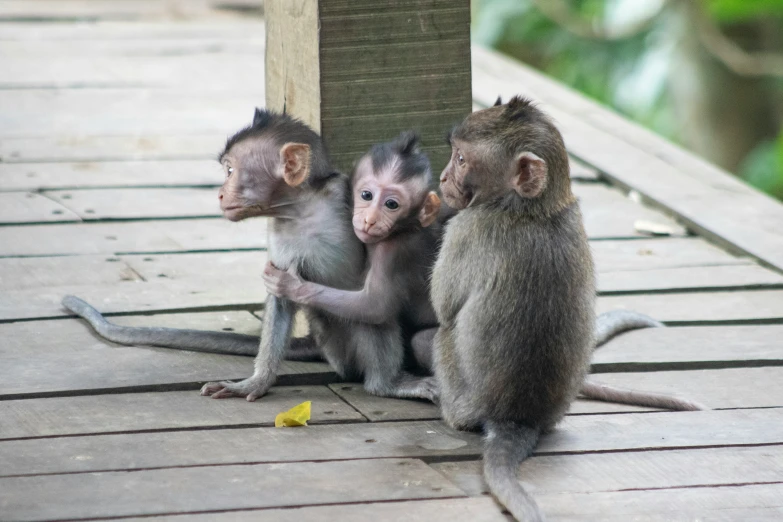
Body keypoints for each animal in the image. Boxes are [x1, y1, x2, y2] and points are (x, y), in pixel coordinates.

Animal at [63, 107, 434, 402]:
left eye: (231, 171)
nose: (219, 193)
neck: (302, 211)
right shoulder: (281, 237)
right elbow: (280, 302)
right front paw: (255, 383)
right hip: (337, 344)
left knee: (371, 314)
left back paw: (387, 384)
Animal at [428, 96, 700, 516]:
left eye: (460, 159)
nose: (442, 178)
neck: (533, 206)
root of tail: (519, 417)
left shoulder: (468, 227)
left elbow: (443, 306)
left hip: (460, 395)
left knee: (443, 335)